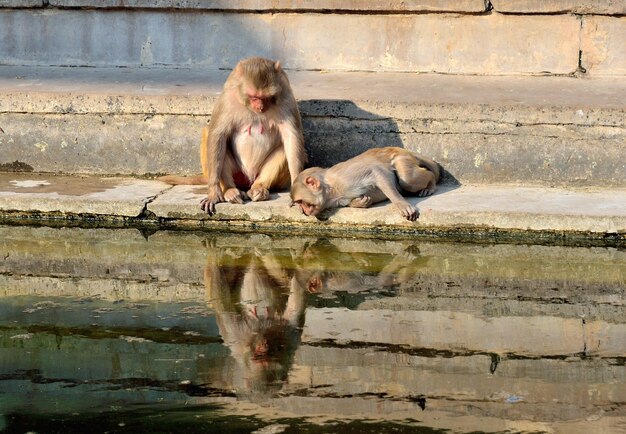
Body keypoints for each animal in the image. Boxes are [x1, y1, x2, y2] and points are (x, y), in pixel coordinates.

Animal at [158, 56, 308, 214]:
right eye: (253, 97)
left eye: (266, 97)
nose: (260, 107)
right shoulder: (228, 97)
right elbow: (218, 134)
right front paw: (213, 193)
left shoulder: (286, 95)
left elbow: (292, 137)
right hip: (236, 172)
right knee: (211, 134)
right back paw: (229, 190)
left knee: (285, 148)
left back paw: (259, 188)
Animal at [288, 147, 438, 220]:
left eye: (301, 202)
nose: (304, 211)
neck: (330, 191)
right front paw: (361, 202)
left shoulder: (345, 178)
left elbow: (376, 172)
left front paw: (401, 204)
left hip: (403, 159)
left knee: (408, 180)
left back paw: (430, 184)